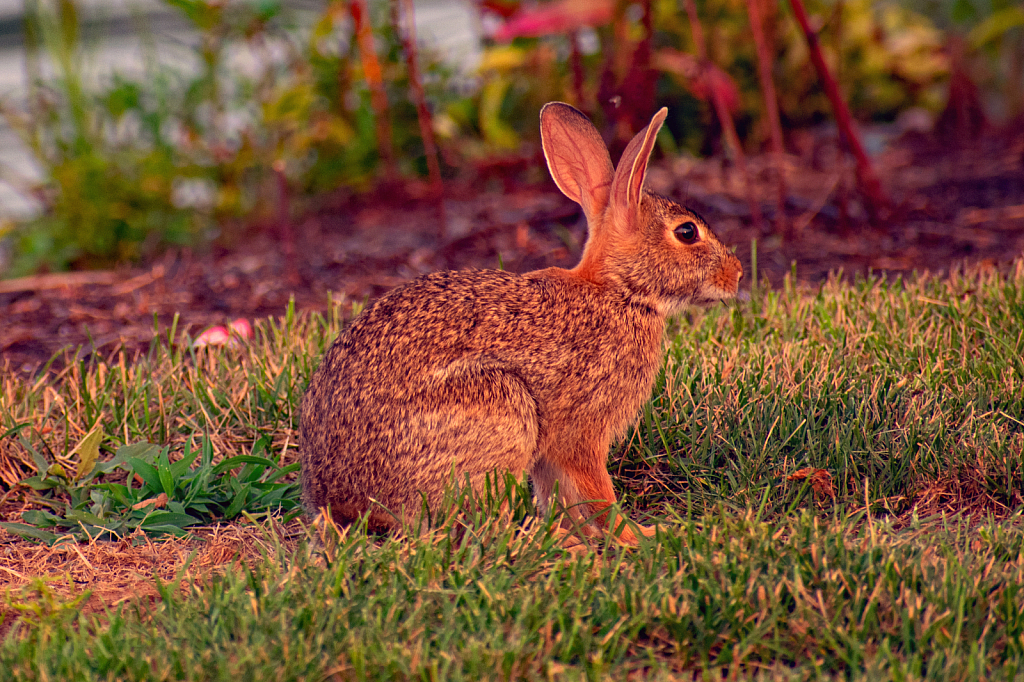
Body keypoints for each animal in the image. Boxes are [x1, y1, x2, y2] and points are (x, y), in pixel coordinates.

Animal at [299, 102, 741, 540]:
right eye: (687, 232)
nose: (735, 275)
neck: (619, 290)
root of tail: (342, 499)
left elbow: (558, 493)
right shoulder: (582, 431)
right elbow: (596, 491)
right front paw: (635, 536)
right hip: (500, 407)